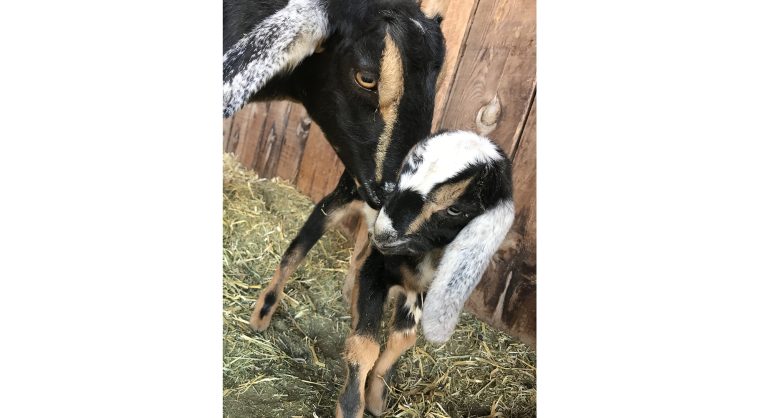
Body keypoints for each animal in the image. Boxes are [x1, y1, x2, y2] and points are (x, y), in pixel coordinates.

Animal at [337, 131, 515, 417]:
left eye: (455, 209)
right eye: (401, 178)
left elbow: (403, 339)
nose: (384, 233)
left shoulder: (419, 290)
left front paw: (377, 399)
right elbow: (364, 345)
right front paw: (352, 406)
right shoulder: (377, 269)